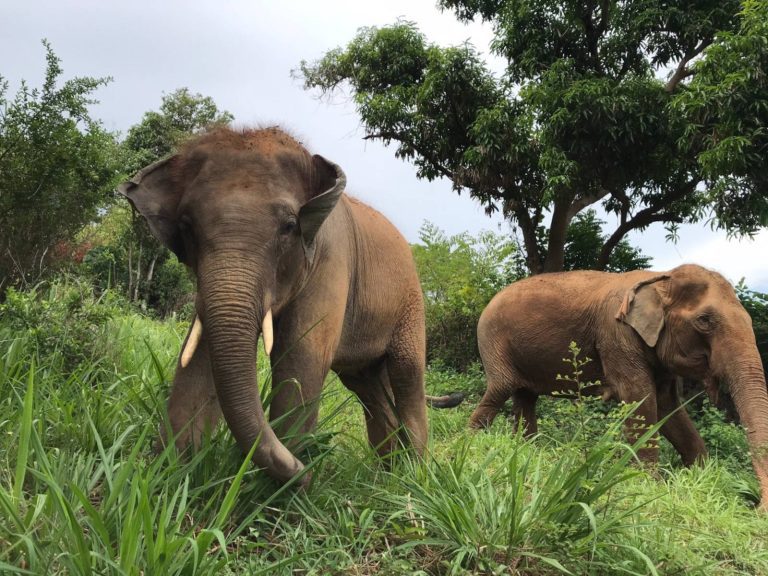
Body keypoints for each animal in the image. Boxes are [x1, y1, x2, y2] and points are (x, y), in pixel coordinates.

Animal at [119, 126, 461, 485]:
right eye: (186, 226)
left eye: (288, 226)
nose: (309, 468)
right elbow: (198, 356)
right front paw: (169, 476)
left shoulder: (331, 261)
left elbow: (300, 358)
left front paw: (284, 490)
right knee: (367, 386)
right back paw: (386, 475)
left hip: (411, 304)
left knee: (406, 376)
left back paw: (413, 477)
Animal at [469, 264, 768, 510]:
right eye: (704, 321)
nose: (755, 506)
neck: (661, 278)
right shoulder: (617, 335)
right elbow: (640, 398)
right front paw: (647, 482)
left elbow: (668, 408)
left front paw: (702, 476)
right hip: (492, 340)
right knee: (502, 387)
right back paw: (470, 440)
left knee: (525, 397)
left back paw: (528, 449)